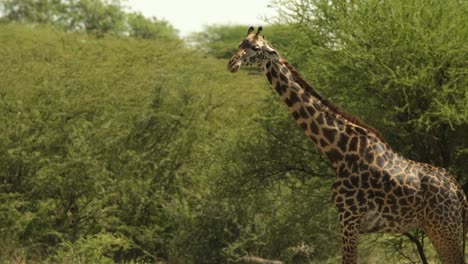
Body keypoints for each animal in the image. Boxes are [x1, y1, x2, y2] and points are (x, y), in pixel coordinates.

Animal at [226, 26, 464, 264]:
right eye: (240, 44)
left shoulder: (349, 217)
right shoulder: (349, 220)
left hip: (444, 228)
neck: (338, 151)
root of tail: (459, 192)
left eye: (256, 48)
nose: (232, 63)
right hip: (439, 228)